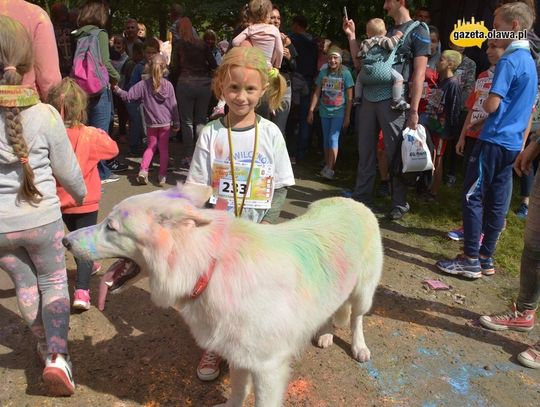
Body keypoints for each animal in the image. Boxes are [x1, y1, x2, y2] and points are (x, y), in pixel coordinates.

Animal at [63, 186, 382, 407]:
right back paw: (325, 334)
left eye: (111, 227)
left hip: (363, 293)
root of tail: (351, 201)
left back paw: (360, 347)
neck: (209, 267)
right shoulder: (239, 354)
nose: (65, 240)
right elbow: (238, 393)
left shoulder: (269, 368)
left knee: (357, 318)